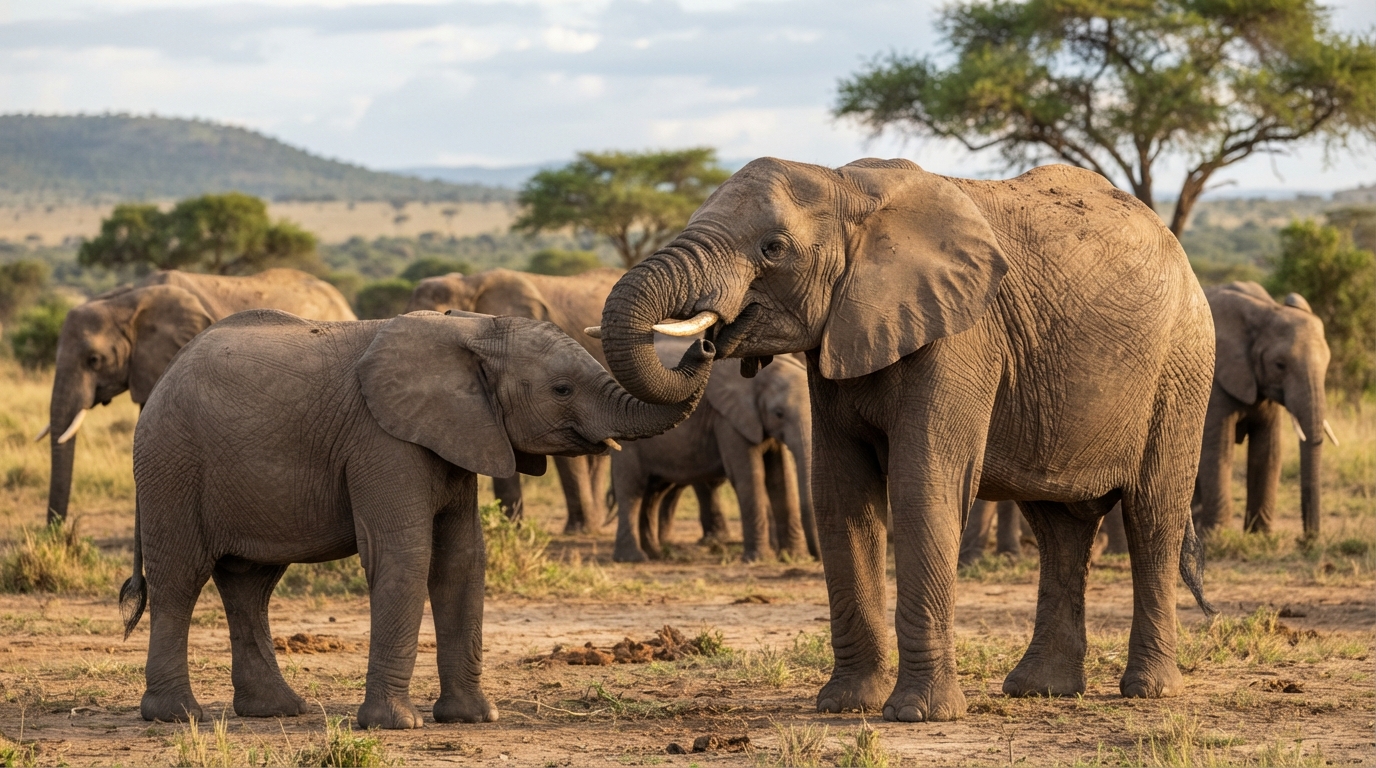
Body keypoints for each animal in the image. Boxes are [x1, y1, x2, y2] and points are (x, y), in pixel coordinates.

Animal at [120, 308, 713, 729]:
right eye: (561, 390)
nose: (707, 342)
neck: (473, 330)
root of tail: (162, 382)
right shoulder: (382, 440)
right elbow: (405, 556)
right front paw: (394, 726)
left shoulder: (463, 434)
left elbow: (462, 560)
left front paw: (475, 718)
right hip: (171, 464)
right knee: (181, 579)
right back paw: (178, 716)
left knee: (250, 585)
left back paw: (279, 710)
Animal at [610, 337, 815, 563]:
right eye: (779, 413)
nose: (815, 558)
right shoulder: (726, 419)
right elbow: (750, 477)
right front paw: (757, 559)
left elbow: (780, 479)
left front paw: (795, 557)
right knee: (632, 489)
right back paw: (634, 559)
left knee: (653, 493)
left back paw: (655, 554)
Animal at [1194, 281, 1332, 538]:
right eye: (1280, 365)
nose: (1308, 539)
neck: (1266, 310)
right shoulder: (1216, 379)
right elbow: (1219, 451)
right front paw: (1218, 537)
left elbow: (1268, 450)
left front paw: (1260, 536)